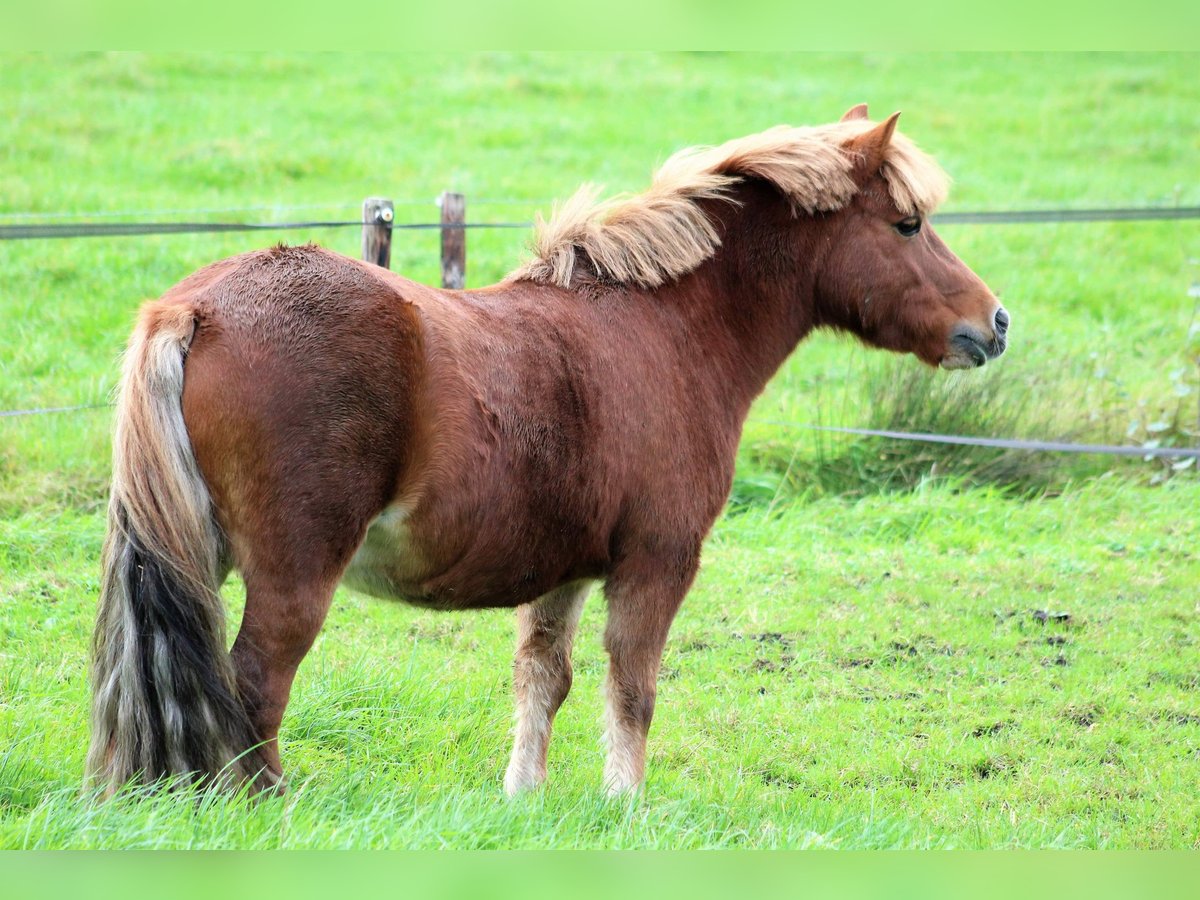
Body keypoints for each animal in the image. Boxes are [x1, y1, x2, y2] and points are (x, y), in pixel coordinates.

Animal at [87, 105, 1003, 796]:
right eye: (908, 224)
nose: (993, 323)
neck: (664, 330)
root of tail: (197, 309)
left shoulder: (562, 570)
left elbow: (542, 681)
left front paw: (522, 801)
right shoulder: (656, 563)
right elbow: (632, 688)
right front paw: (625, 805)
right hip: (292, 577)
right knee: (253, 686)